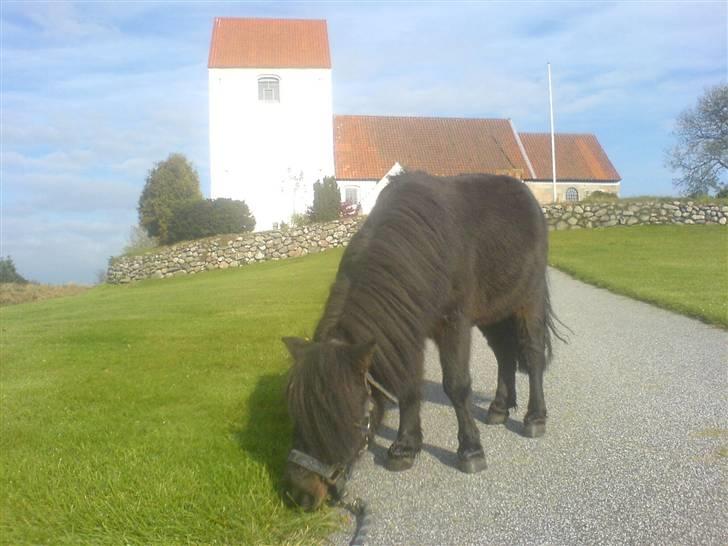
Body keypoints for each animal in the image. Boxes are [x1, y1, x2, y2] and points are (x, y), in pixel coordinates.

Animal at [282, 172, 560, 508]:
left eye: (346, 418)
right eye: (296, 412)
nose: (300, 493)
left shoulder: (454, 325)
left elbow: (456, 385)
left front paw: (470, 450)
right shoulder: (407, 329)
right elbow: (407, 387)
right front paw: (405, 446)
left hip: (529, 299)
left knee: (532, 355)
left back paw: (535, 418)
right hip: (493, 312)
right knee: (504, 354)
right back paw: (498, 408)